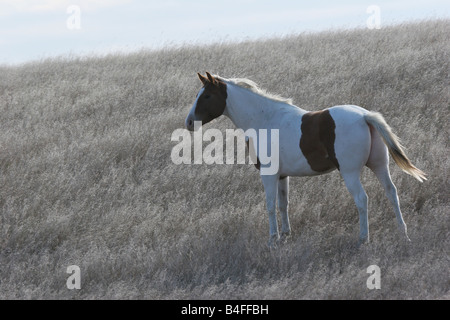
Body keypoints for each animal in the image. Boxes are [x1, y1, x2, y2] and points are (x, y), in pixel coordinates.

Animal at [185, 72, 428, 248]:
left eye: (206, 96)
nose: (188, 122)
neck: (265, 119)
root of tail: (364, 116)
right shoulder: (282, 176)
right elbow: (283, 205)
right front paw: (285, 235)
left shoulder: (268, 174)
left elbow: (270, 206)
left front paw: (272, 240)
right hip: (379, 166)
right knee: (392, 193)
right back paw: (403, 233)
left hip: (350, 173)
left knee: (362, 199)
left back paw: (363, 239)